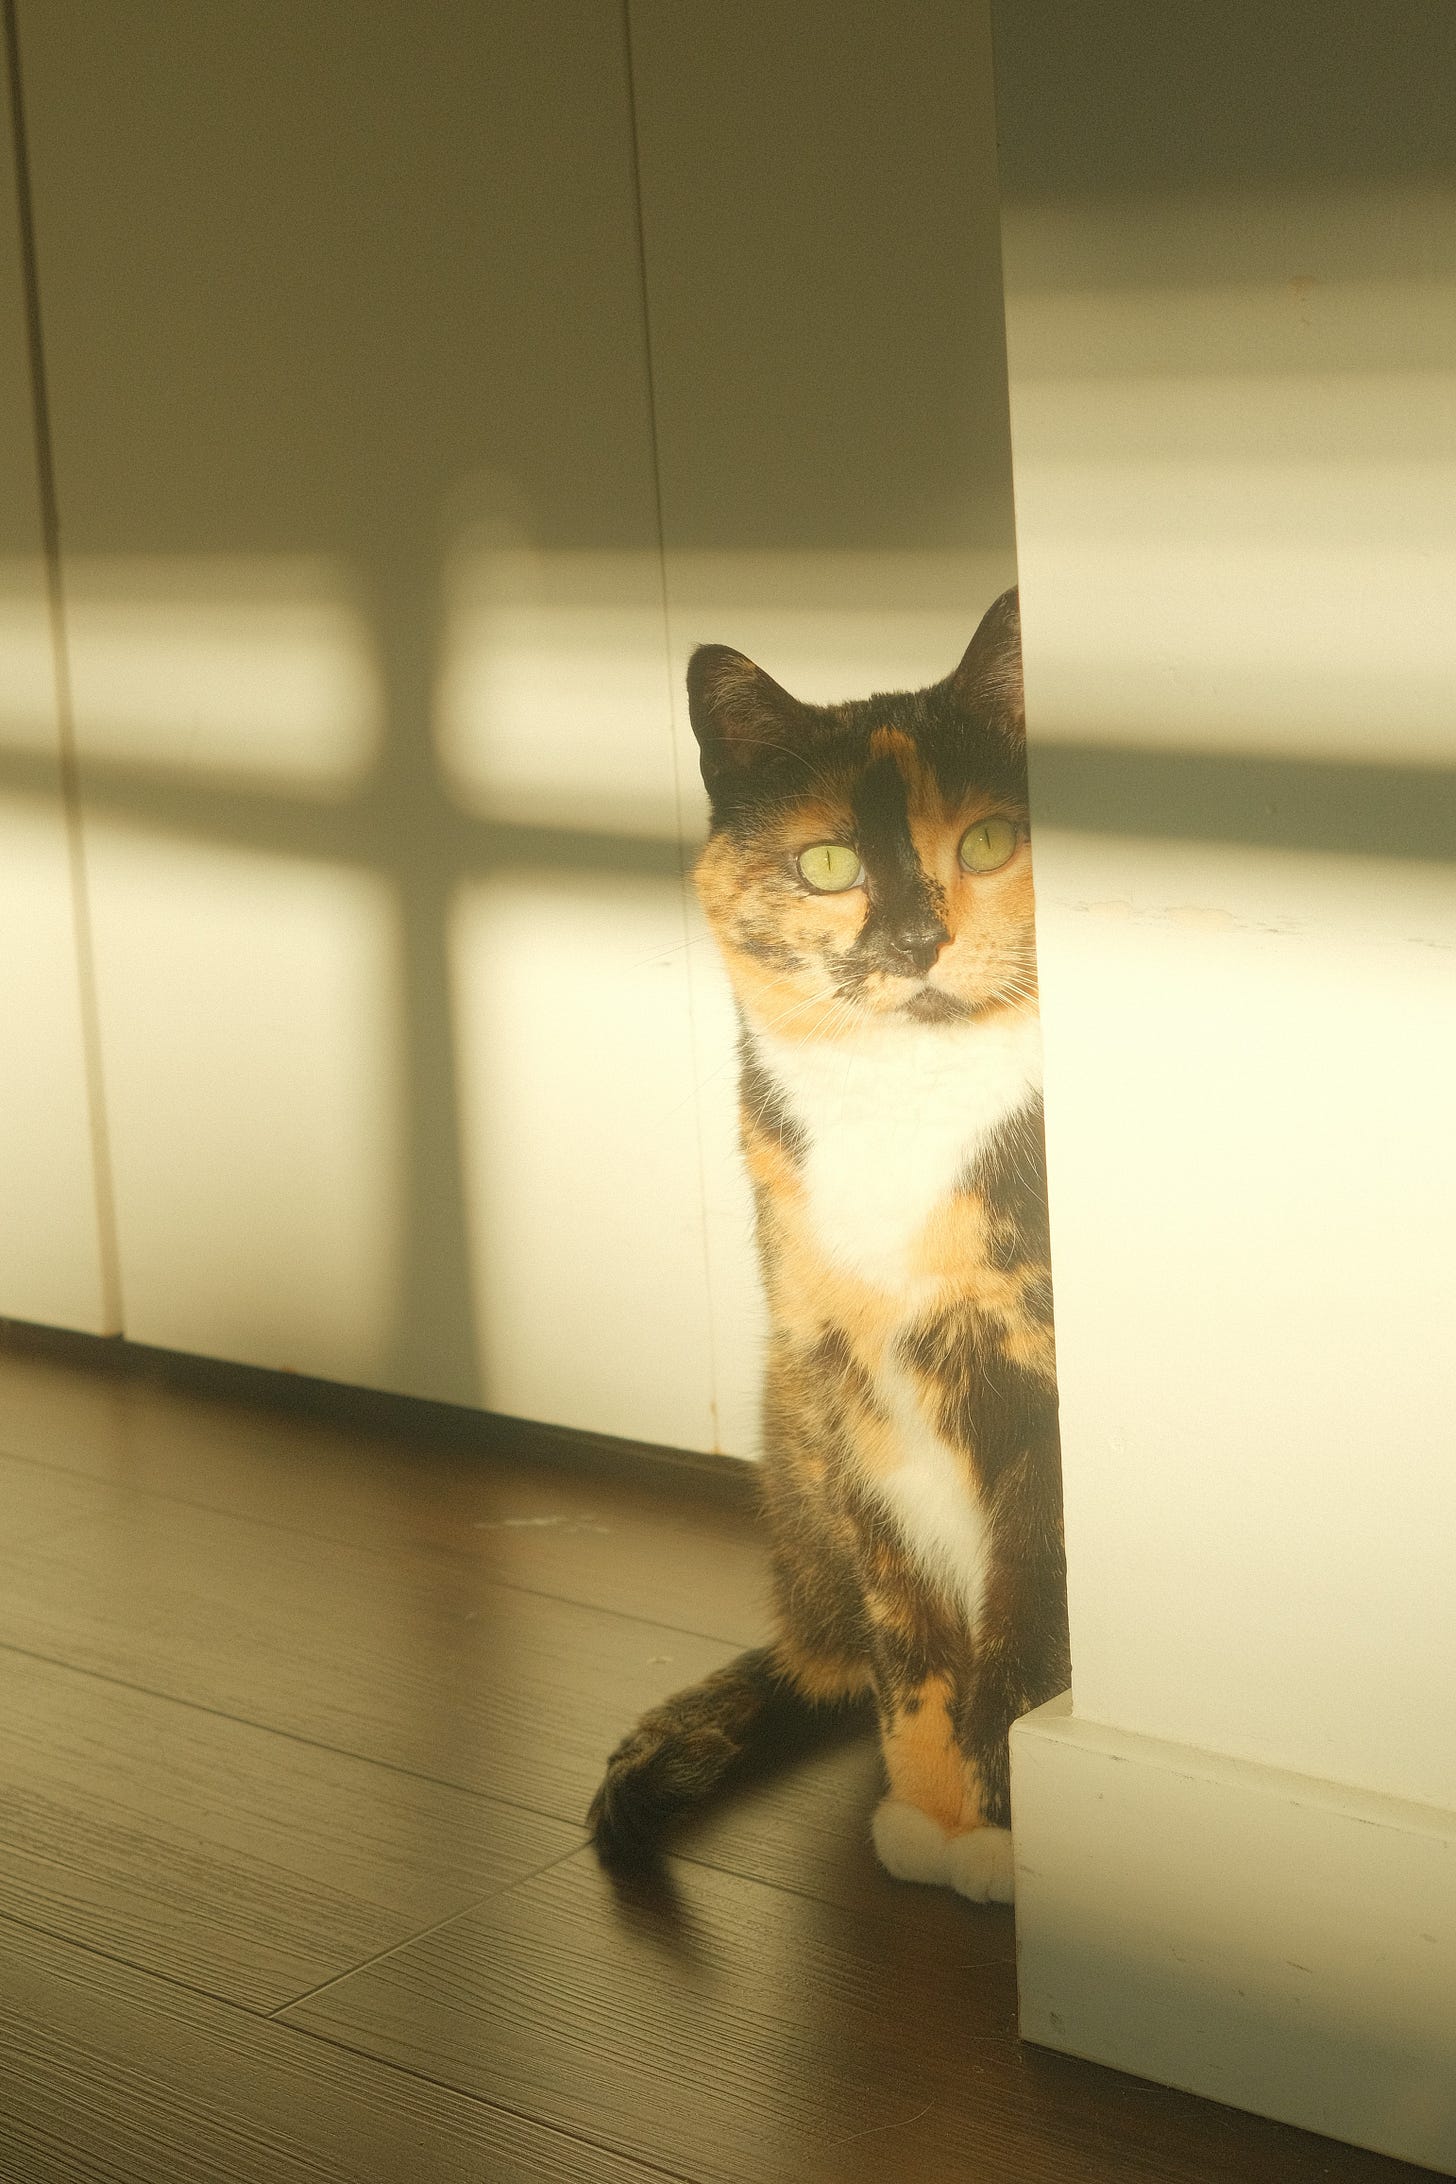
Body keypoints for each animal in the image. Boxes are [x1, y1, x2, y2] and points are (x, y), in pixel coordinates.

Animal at [585, 589, 1069, 1904]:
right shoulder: (848, 1377)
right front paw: (930, 1815)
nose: (912, 941)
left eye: (989, 841)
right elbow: (914, 1636)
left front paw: (1001, 1847)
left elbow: (1028, 1619)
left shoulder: (1039, 1395)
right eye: (828, 864)